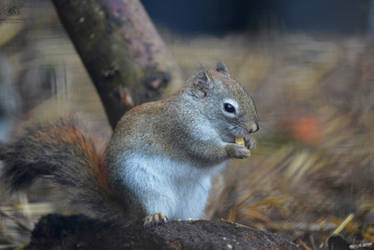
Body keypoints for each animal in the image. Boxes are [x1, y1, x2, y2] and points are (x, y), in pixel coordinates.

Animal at [0, 62, 258, 225]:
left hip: (195, 196)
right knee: (149, 211)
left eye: (247, 92)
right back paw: (155, 217)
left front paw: (249, 142)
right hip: (144, 186)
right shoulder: (183, 131)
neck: (198, 111)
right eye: (229, 107)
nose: (254, 128)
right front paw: (234, 149)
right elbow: (205, 153)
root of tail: (128, 210)